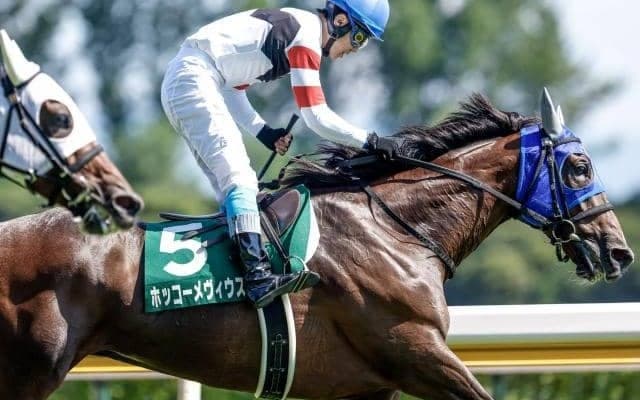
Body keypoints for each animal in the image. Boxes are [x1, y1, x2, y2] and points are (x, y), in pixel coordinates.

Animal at [0, 91, 633, 399]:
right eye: (578, 166)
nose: (619, 251)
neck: (395, 229)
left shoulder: (371, 386)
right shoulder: (418, 353)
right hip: (29, 371)